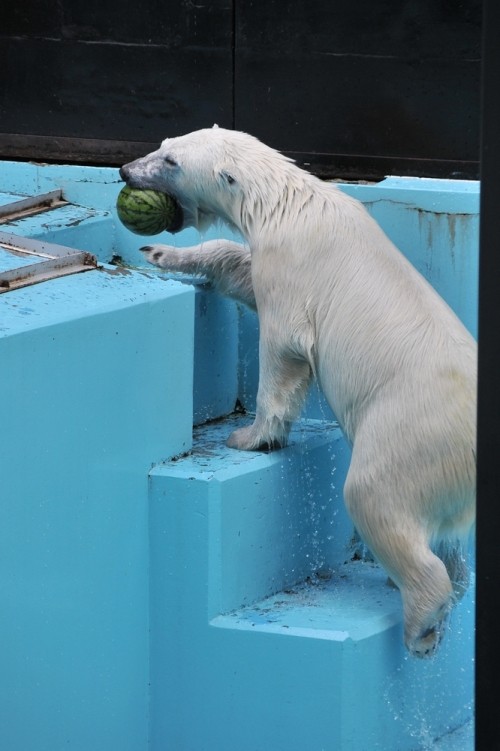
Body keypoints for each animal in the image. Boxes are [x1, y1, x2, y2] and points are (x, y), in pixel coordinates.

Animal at [120, 125, 476, 656]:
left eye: (170, 162)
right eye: (164, 146)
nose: (125, 170)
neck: (288, 205)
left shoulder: (292, 270)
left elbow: (282, 347)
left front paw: (250, 437)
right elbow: (238, 268)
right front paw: (163, 255)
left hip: (413, 435)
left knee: (375, 497)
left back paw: (422, 621)